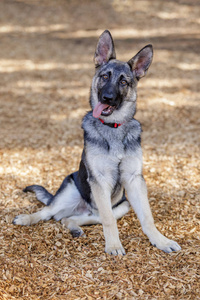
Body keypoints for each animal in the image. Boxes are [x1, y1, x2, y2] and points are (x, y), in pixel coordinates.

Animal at [12, 30, 181, 255]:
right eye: (105, 76)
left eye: (124, 82)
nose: (106, 97)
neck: (113, 127)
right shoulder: (99, 181)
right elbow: (109, 221)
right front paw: (114, 245)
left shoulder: (134, 180)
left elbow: (146, 218)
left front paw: (160, 241)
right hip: (70, 191)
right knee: (49, 212)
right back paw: (26, 219)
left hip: (121, 206)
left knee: (70, 218)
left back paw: (74, 228)